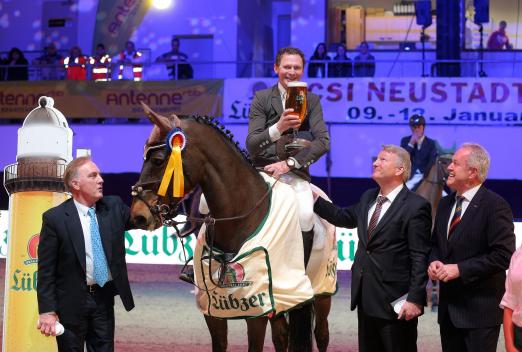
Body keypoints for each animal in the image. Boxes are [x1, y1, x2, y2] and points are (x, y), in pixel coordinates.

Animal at [129, 102, 334, 352]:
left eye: (158, 160)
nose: (138, 216)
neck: (240, 215)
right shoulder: (212, 309)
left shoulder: (257, 309)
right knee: (281, 336)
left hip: (322, 293)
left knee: (321, 333)